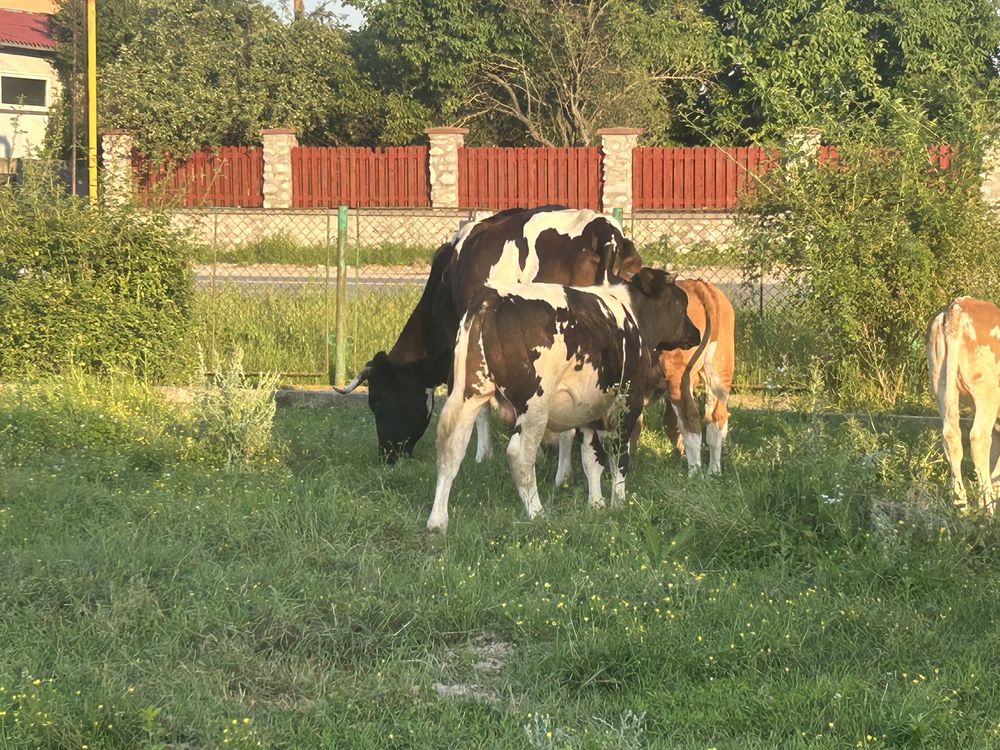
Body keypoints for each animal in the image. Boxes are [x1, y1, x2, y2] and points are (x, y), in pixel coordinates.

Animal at [426, 268, 700, 536]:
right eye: (681, 302)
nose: (695, 333)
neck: (630, 315)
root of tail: (492, 296)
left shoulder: (589, 414)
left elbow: (592, 460)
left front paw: (596, 504)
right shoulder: (628, 403)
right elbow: (619, 457)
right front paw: (618, 503)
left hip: (469, 392)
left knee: (451, 448)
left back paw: (437, 522)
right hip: (534, 406)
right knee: (520, 455)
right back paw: (537, 513)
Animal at [648, 282, 736, 476]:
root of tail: (699, 286)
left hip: (678, 377)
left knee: (690, 417)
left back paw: (694, 473)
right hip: (722, 368)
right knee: (716, 417)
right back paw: (714, 471)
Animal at [920, 296, 1000, 516]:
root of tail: (958, 306)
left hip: (940, 386)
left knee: (951, 437)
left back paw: (961, 505)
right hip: (987, 393)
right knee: (978, 439)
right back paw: (989, 510)